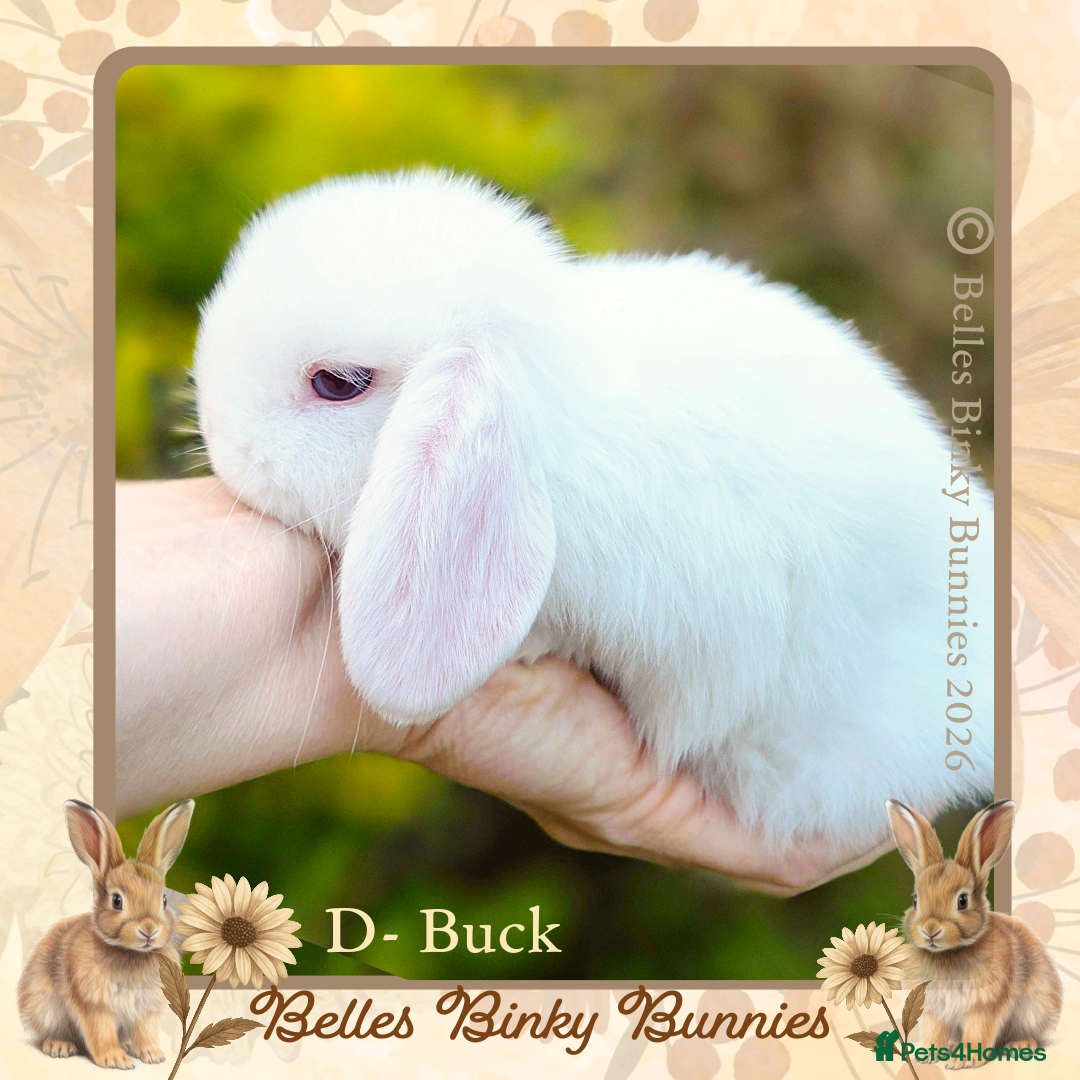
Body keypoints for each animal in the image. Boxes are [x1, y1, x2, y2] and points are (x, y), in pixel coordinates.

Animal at [17, 798, 195, 1069]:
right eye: (117, 901)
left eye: (163, 900)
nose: (149, 930)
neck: (129, 952)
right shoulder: (95, 1005)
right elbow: (101, 1031)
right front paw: (116, 1060)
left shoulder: (145, 1009)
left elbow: (145, 1031)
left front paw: (153, 1055)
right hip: (45, 1008)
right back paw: (59, 1046)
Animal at [886, 799, 1062, 1066]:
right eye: (916, 900)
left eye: (962, 901)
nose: (930, 930)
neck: (950, 953)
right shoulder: (935, 1009)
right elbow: (934, 1031)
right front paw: (926, 1056)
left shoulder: (984, 1005)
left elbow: (978, 1031)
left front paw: (963, 1061)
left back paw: (1019, 1046)